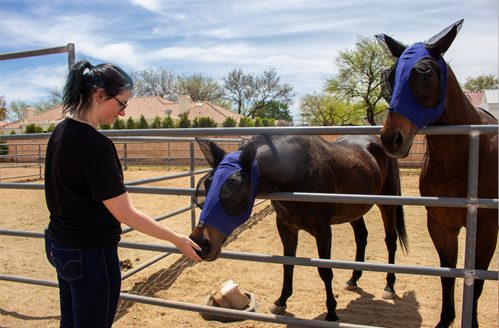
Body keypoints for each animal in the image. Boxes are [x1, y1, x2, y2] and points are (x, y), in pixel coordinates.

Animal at [189, 135, 408, 322]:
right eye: (207, 184)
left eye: (235, 187)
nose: (200, 243)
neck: (297, 174)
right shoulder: (286, 227)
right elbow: (288, 264)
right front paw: (281, 302)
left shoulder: (323, 230)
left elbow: (325, 270)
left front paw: (331, 311)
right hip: (354, 211)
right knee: (361, 237)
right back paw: (353, 280)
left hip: (387, 205)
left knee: (390, 241)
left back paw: (389, 286)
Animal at [376, 20, 498, 328]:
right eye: (391, 77)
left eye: (425, 72)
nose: (391, 138)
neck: (459, 160)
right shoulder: (441, 225)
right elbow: (448, 275)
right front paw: (446, 320)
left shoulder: (486, 229)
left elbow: (477, 281)